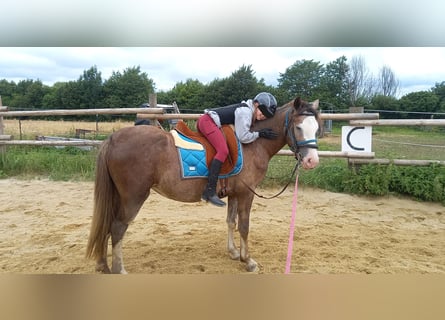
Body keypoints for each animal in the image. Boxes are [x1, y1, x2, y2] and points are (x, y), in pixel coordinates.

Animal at [85, 97, 320, 272]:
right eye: (298, 127)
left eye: (316, 128)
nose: (312, 161)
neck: (253, 145)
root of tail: (113, 138)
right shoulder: (246, 193)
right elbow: (244, 226)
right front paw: (248, 260)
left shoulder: (234, 193)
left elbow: (231, 221)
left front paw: (234, 253)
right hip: (133, 197)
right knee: (118, 227)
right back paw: (119, 269)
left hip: (119, 196)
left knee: (107, 224)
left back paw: (103, 265)